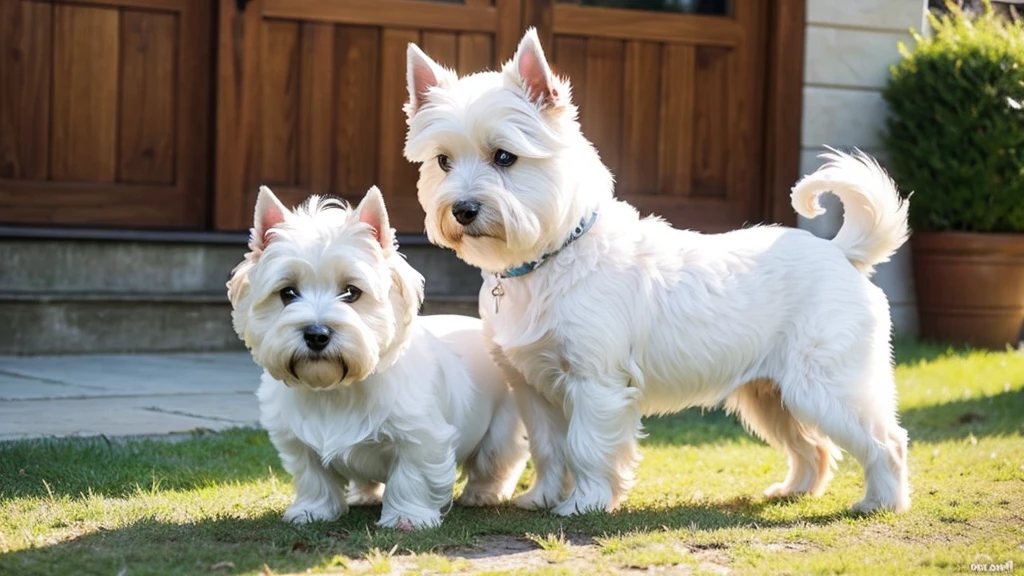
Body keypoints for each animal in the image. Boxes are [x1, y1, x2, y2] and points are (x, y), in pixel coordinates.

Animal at [225, 186, 528, 528]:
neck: (336, 391)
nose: (316, 334)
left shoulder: (421, 437)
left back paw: (482, 494)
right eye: (287, 293)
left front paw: (406, 518)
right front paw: (311, 510)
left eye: (351, 292)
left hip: (501, 427)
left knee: (497, 462)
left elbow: (412, 476)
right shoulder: (297, 440)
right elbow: (313, 476)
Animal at [399, 26, 913, 512]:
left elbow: (586, 448)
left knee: (886, 441)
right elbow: (549, 450)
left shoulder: (596, 385)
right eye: (443, 161)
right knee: (814, 448)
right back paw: (794, 490)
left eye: (504, 156)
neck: (551, 259)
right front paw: (542, 498)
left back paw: (881, 502)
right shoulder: (534, 391)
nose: (463, 210)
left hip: (826, 387)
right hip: (771, 395)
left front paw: (583, 504)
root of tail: (841, 253)